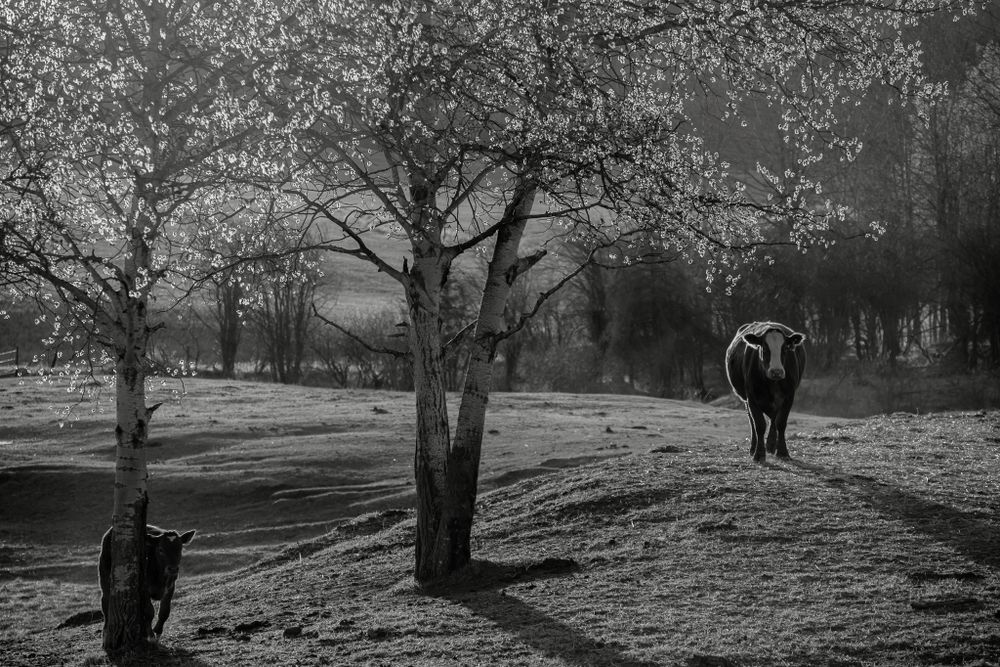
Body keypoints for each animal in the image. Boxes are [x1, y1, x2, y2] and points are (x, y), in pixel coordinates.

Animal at [725, 321, 807, 463]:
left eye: (785, 348)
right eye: (764, 348)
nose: (776, 371)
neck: (772, 383)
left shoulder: (789, 396)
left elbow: (781, 423)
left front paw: (782, 451)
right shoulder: (751, 397)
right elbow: (759, 424)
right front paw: (759, 454)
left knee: (773, 419)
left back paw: (771, 445)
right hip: (746, 400)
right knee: (752, 421)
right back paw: (754, 447)